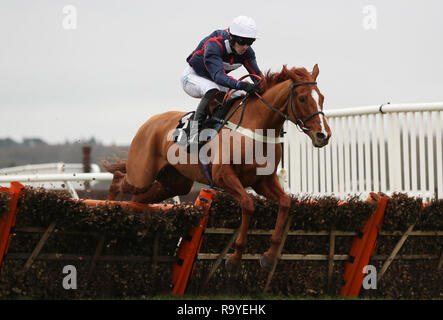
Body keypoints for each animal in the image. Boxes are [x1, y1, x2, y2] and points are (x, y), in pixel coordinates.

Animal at [104, 64, 332, 270]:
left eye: (321, 97)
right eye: (302, 98)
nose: (323, 135)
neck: (255, 127)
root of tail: (150, 122)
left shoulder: (263, 180)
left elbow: (285, 203)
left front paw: (269, 257)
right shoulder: (224, 175)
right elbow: (248, 204)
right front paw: (235, 259)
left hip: (174, 184)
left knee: (139, 199)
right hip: (141, 174)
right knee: (119, 180)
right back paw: (109, 207)